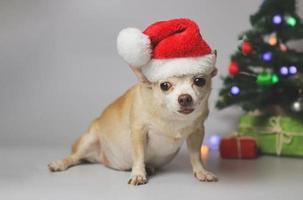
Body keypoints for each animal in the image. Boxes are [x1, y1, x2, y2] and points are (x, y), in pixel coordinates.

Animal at [48, 18, 218, 185]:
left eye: (200, 81)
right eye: (164, 86)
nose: (184, 98)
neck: (172, 117)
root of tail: (102, 159)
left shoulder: (197, 132)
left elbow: (196, 155)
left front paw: (201, 171)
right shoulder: (139, 132)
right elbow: (139, 155)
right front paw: (138, 174)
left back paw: (149, 167)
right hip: (88, 140)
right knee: (75, 157)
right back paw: (60, 163)